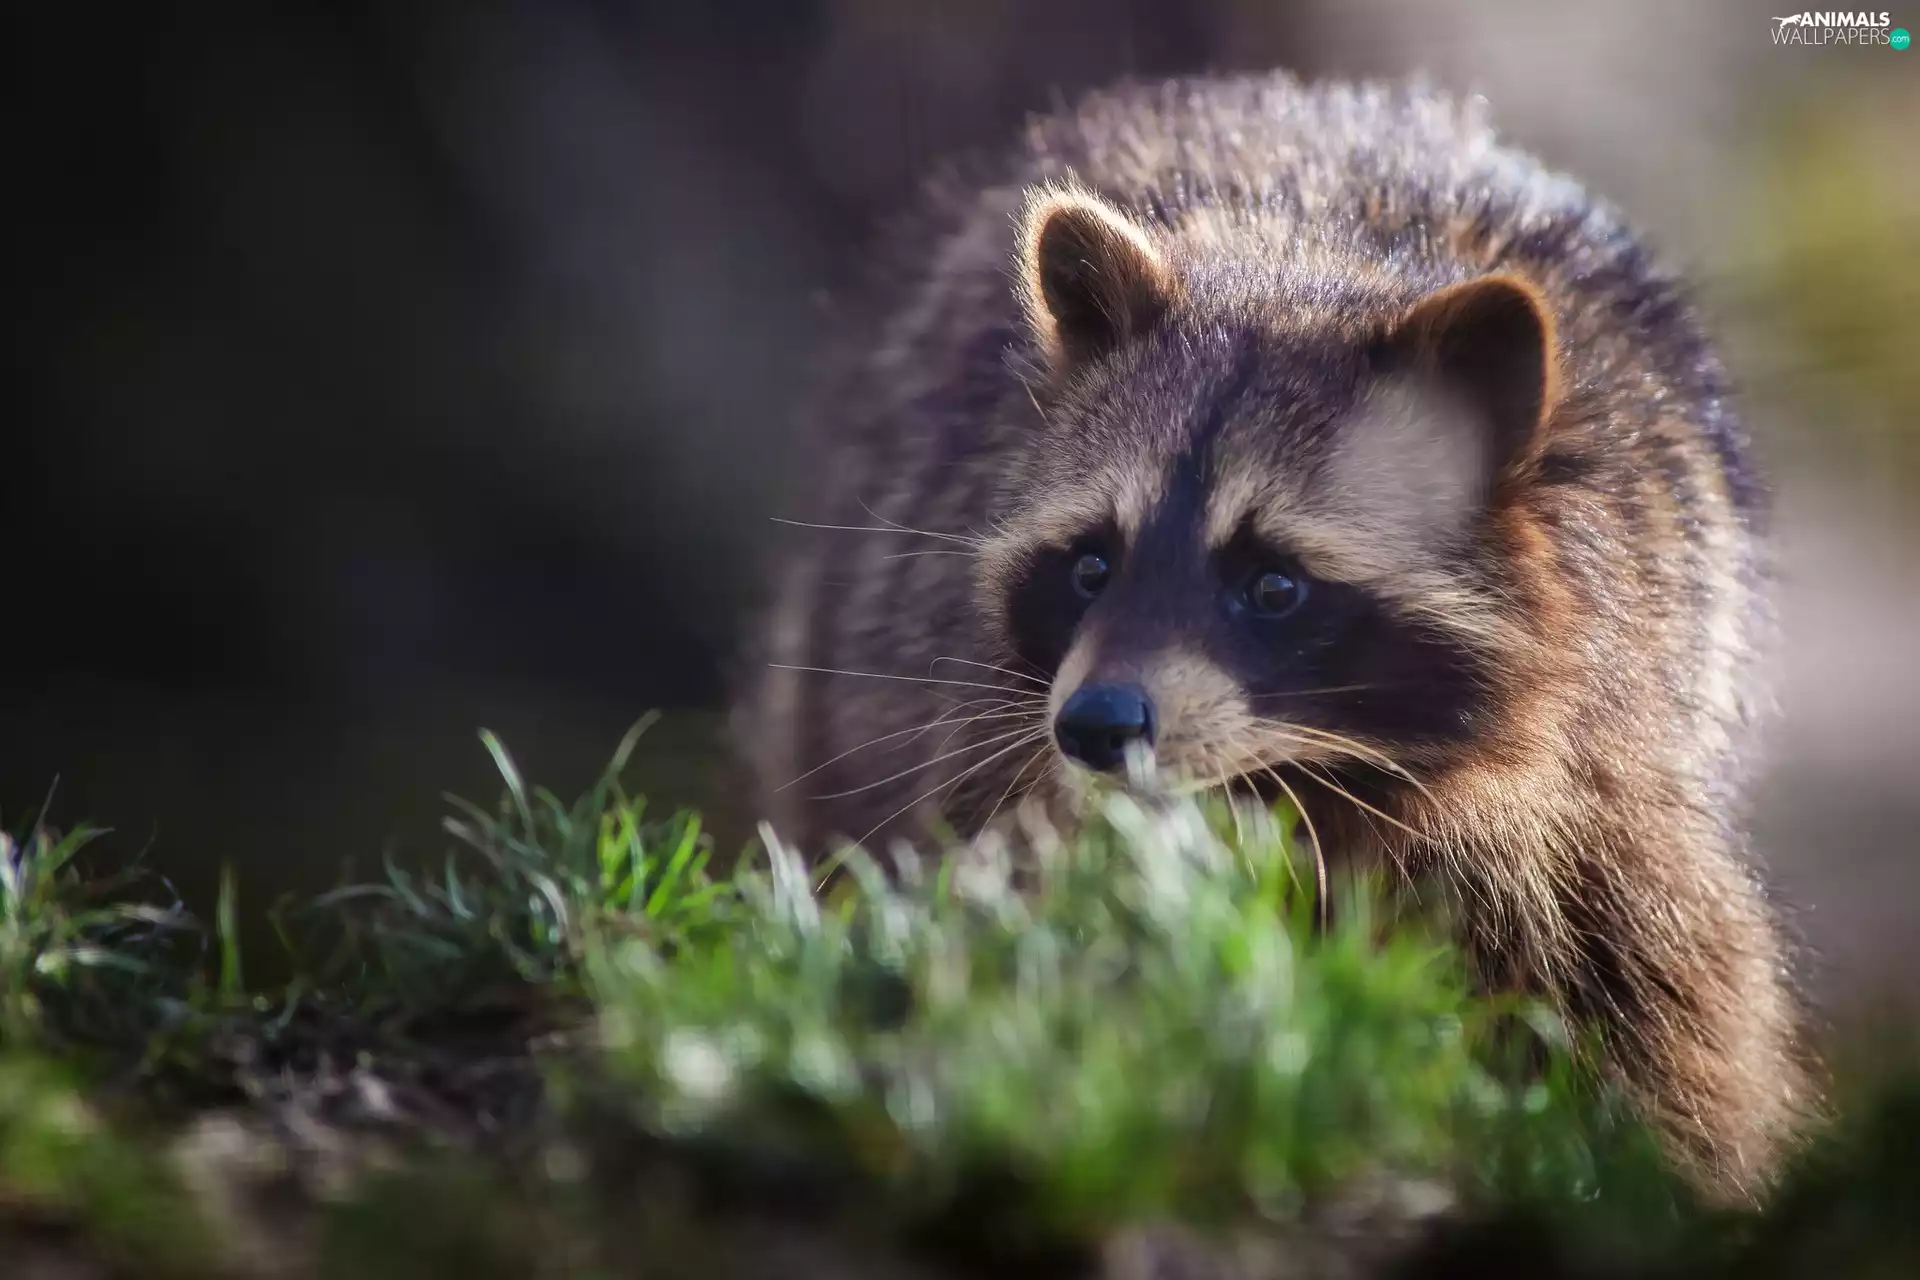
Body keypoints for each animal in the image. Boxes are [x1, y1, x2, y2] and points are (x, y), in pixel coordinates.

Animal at [736, 73, 1809, 1196]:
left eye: (1274, 585)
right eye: (1092, 565)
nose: (1095, 725)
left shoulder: (1599, 794)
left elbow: (1657, 1013)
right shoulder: (998, 758)